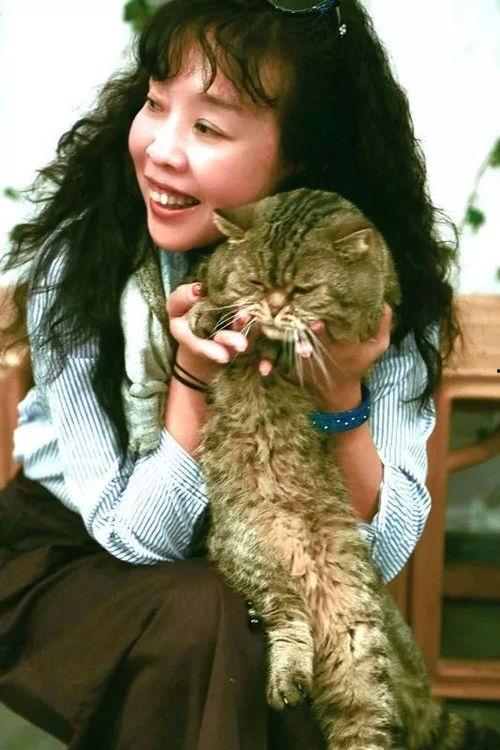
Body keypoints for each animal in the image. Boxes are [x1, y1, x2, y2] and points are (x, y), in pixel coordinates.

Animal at [184, 188, 499, 749]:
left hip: (359, 649)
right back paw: (288, 678)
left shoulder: (375, 314)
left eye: (303, 288)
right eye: (257, 282)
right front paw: (211, 311)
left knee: (363, 719)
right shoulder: (218, 273)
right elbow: (215, 292)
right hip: (250, 556)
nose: (274, 306)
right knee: (288, 621)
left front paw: (294, 333)